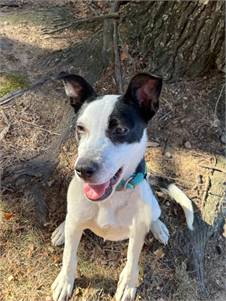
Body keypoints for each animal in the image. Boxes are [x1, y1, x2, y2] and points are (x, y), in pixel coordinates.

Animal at [51, 72, 194, 300]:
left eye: (120, 129)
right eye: (80, 128)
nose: (83, 169)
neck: (112, 198)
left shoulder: (136, 232)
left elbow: (132, 260)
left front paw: (128, 284)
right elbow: (69, 256)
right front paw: (65, 281)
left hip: (152, 207)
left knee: (154, 215)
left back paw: (158, 227)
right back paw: (61, 229)